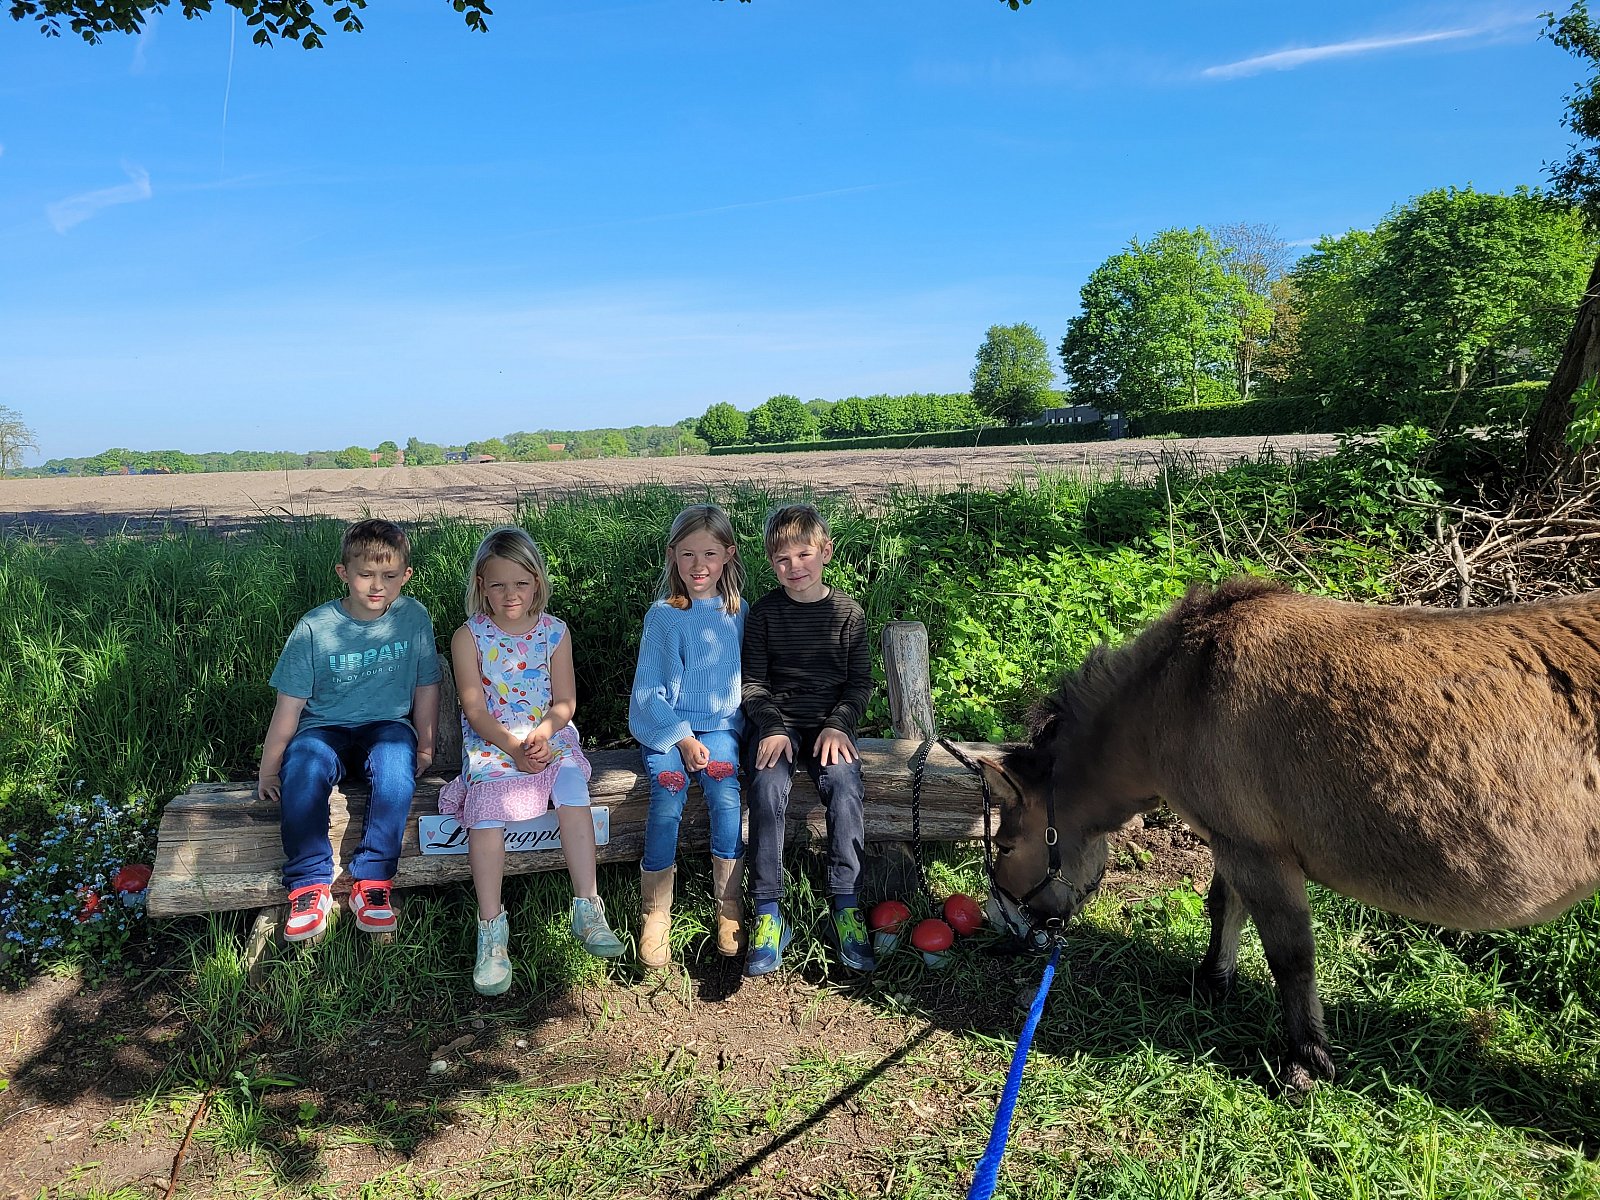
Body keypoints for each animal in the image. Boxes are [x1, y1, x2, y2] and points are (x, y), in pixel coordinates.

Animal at [979, 577, 1600, 1089]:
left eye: (1005, 845)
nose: (1001, 923)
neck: (1185, 685)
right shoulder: (1232, 840)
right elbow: (1223, 907)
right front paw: (1212, 982)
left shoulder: (1257, 852)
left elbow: (1290, 954)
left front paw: (1305, 1062)